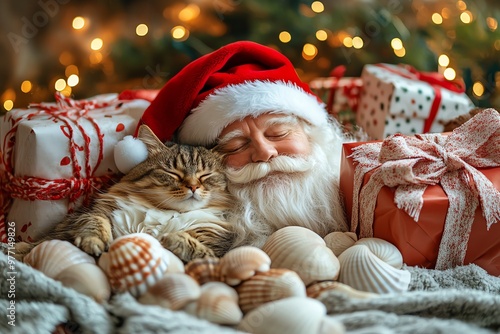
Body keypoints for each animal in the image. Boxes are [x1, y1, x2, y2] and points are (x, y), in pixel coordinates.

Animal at [19, 124, 234, 262]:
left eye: (205, 176)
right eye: (172, 173)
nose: (193, 187)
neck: (165, 212)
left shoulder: (217, 249)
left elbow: (202, 253)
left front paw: (173, 239)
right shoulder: (93, 212)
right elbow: (94, 222)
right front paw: (95, 241)